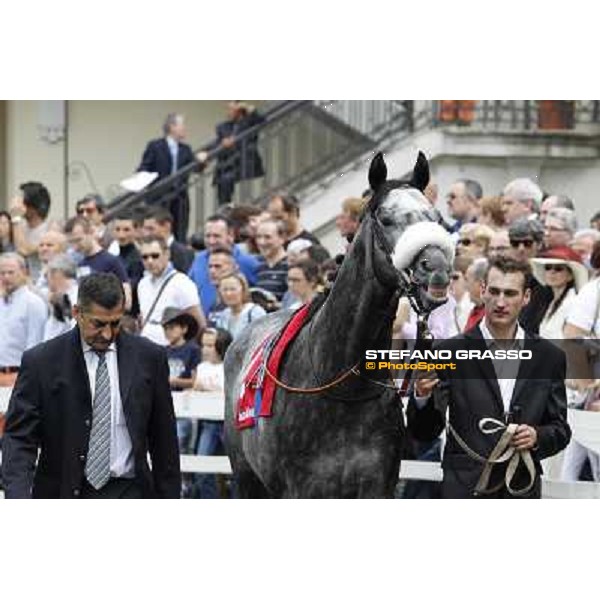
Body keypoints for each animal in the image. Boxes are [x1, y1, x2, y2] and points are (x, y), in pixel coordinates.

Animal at [223, 152, 452, 500]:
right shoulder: (302, 490)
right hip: (248, 480)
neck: (343, 388)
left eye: (436, 217)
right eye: (386, 219)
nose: (437, 269)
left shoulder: (377, 488)